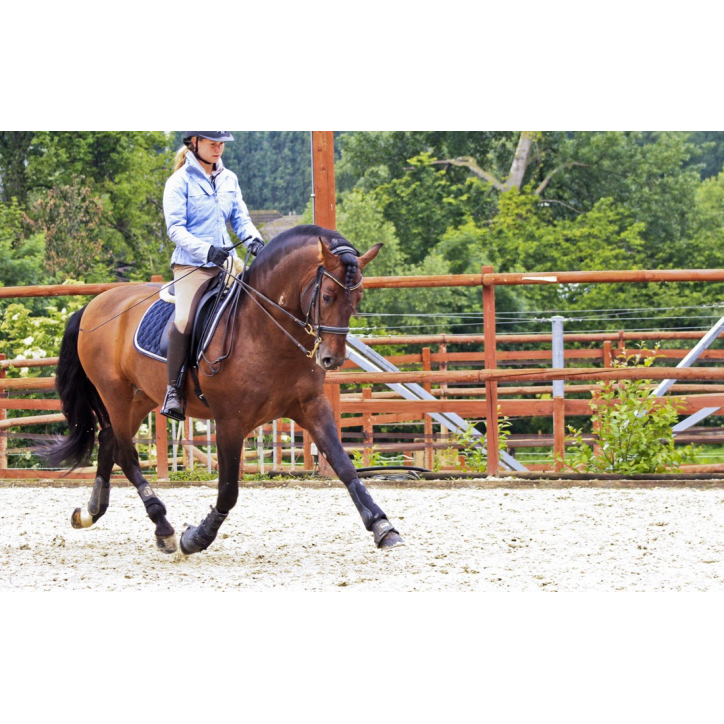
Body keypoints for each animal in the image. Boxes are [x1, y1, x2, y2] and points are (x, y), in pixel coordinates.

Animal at [45, 225, 405, 555]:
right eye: (327, 296)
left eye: (357, 299)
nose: (333, 358)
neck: (266, 330)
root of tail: (94, 304)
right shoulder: (231, 421)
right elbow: (229, 489)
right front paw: (197, 537)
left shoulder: (312, 407)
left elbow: (344, 465)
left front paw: (382, 526)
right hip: (115, 394)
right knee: (126, 453)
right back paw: (163, 526)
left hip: (140, 397)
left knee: (109, 442)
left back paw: (90, 513)